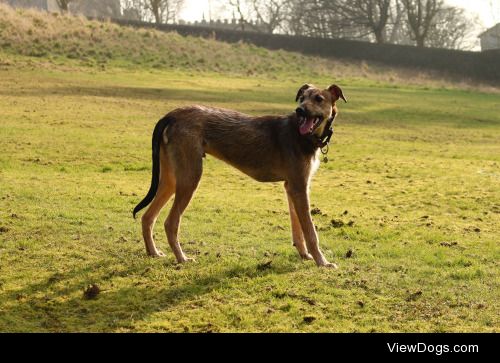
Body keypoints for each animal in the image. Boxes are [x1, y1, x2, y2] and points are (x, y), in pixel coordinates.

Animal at [134, 84, 348, 268]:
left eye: (319, 99)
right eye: (302, 98)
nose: (300, 111)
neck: (303, 135)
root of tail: (171, 115)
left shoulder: (293, 187)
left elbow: (298, 229)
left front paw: (305, 255)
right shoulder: (299, 187)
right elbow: (310, 231)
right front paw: (322, 262)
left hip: (171, 180)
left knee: (147, 217)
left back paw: (153, 252)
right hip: (190, 178)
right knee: (170, 222)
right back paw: (182, 258)